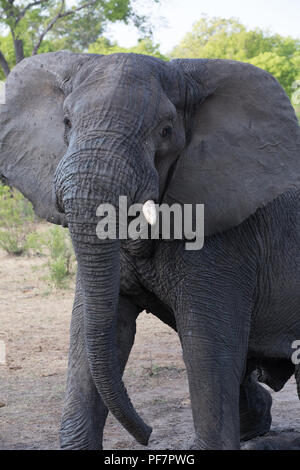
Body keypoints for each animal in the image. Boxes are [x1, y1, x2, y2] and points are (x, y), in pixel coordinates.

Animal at [0, 49, 300, 450]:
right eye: (66, 122)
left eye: (165, 131)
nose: (148, 435)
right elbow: (96, 331)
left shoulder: (227, 239)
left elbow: (207, 346)